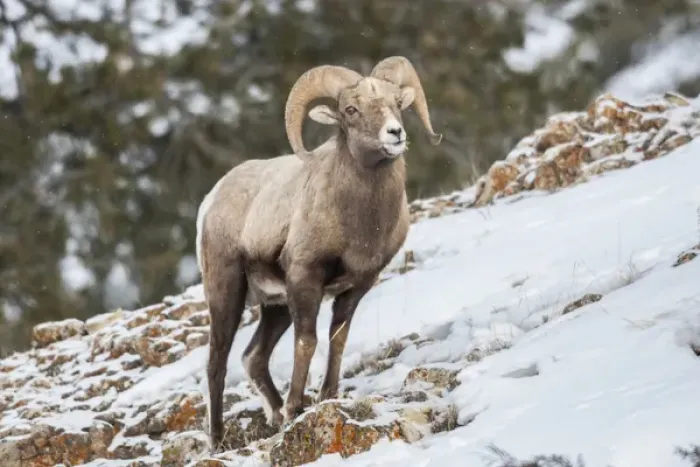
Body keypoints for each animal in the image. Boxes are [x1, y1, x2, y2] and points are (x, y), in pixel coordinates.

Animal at [196, 56, 442, 450]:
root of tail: (211, 200)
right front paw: (297, 407)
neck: (360, 222)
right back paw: (219, 440)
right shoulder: (305, 280)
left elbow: (337, 339)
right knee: (217, 362)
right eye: (351, 110)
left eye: (396, 103)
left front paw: (327, 396)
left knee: (253, 357)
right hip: (227, 294)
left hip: (275, 307)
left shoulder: (355, 287)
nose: (394, 134)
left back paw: (275, 414)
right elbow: (307, 342)